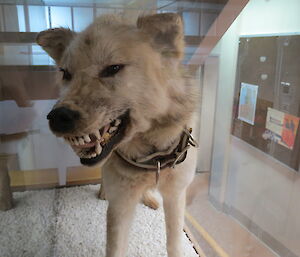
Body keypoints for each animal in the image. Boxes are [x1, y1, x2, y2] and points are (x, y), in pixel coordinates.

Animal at [36, 13, 198, 256]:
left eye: (113, 68)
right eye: (66, 74)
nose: (57, 117)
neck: (151, 158)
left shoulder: (176, 196)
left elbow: (174, 244)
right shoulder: (120, 206)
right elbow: (116, 247)